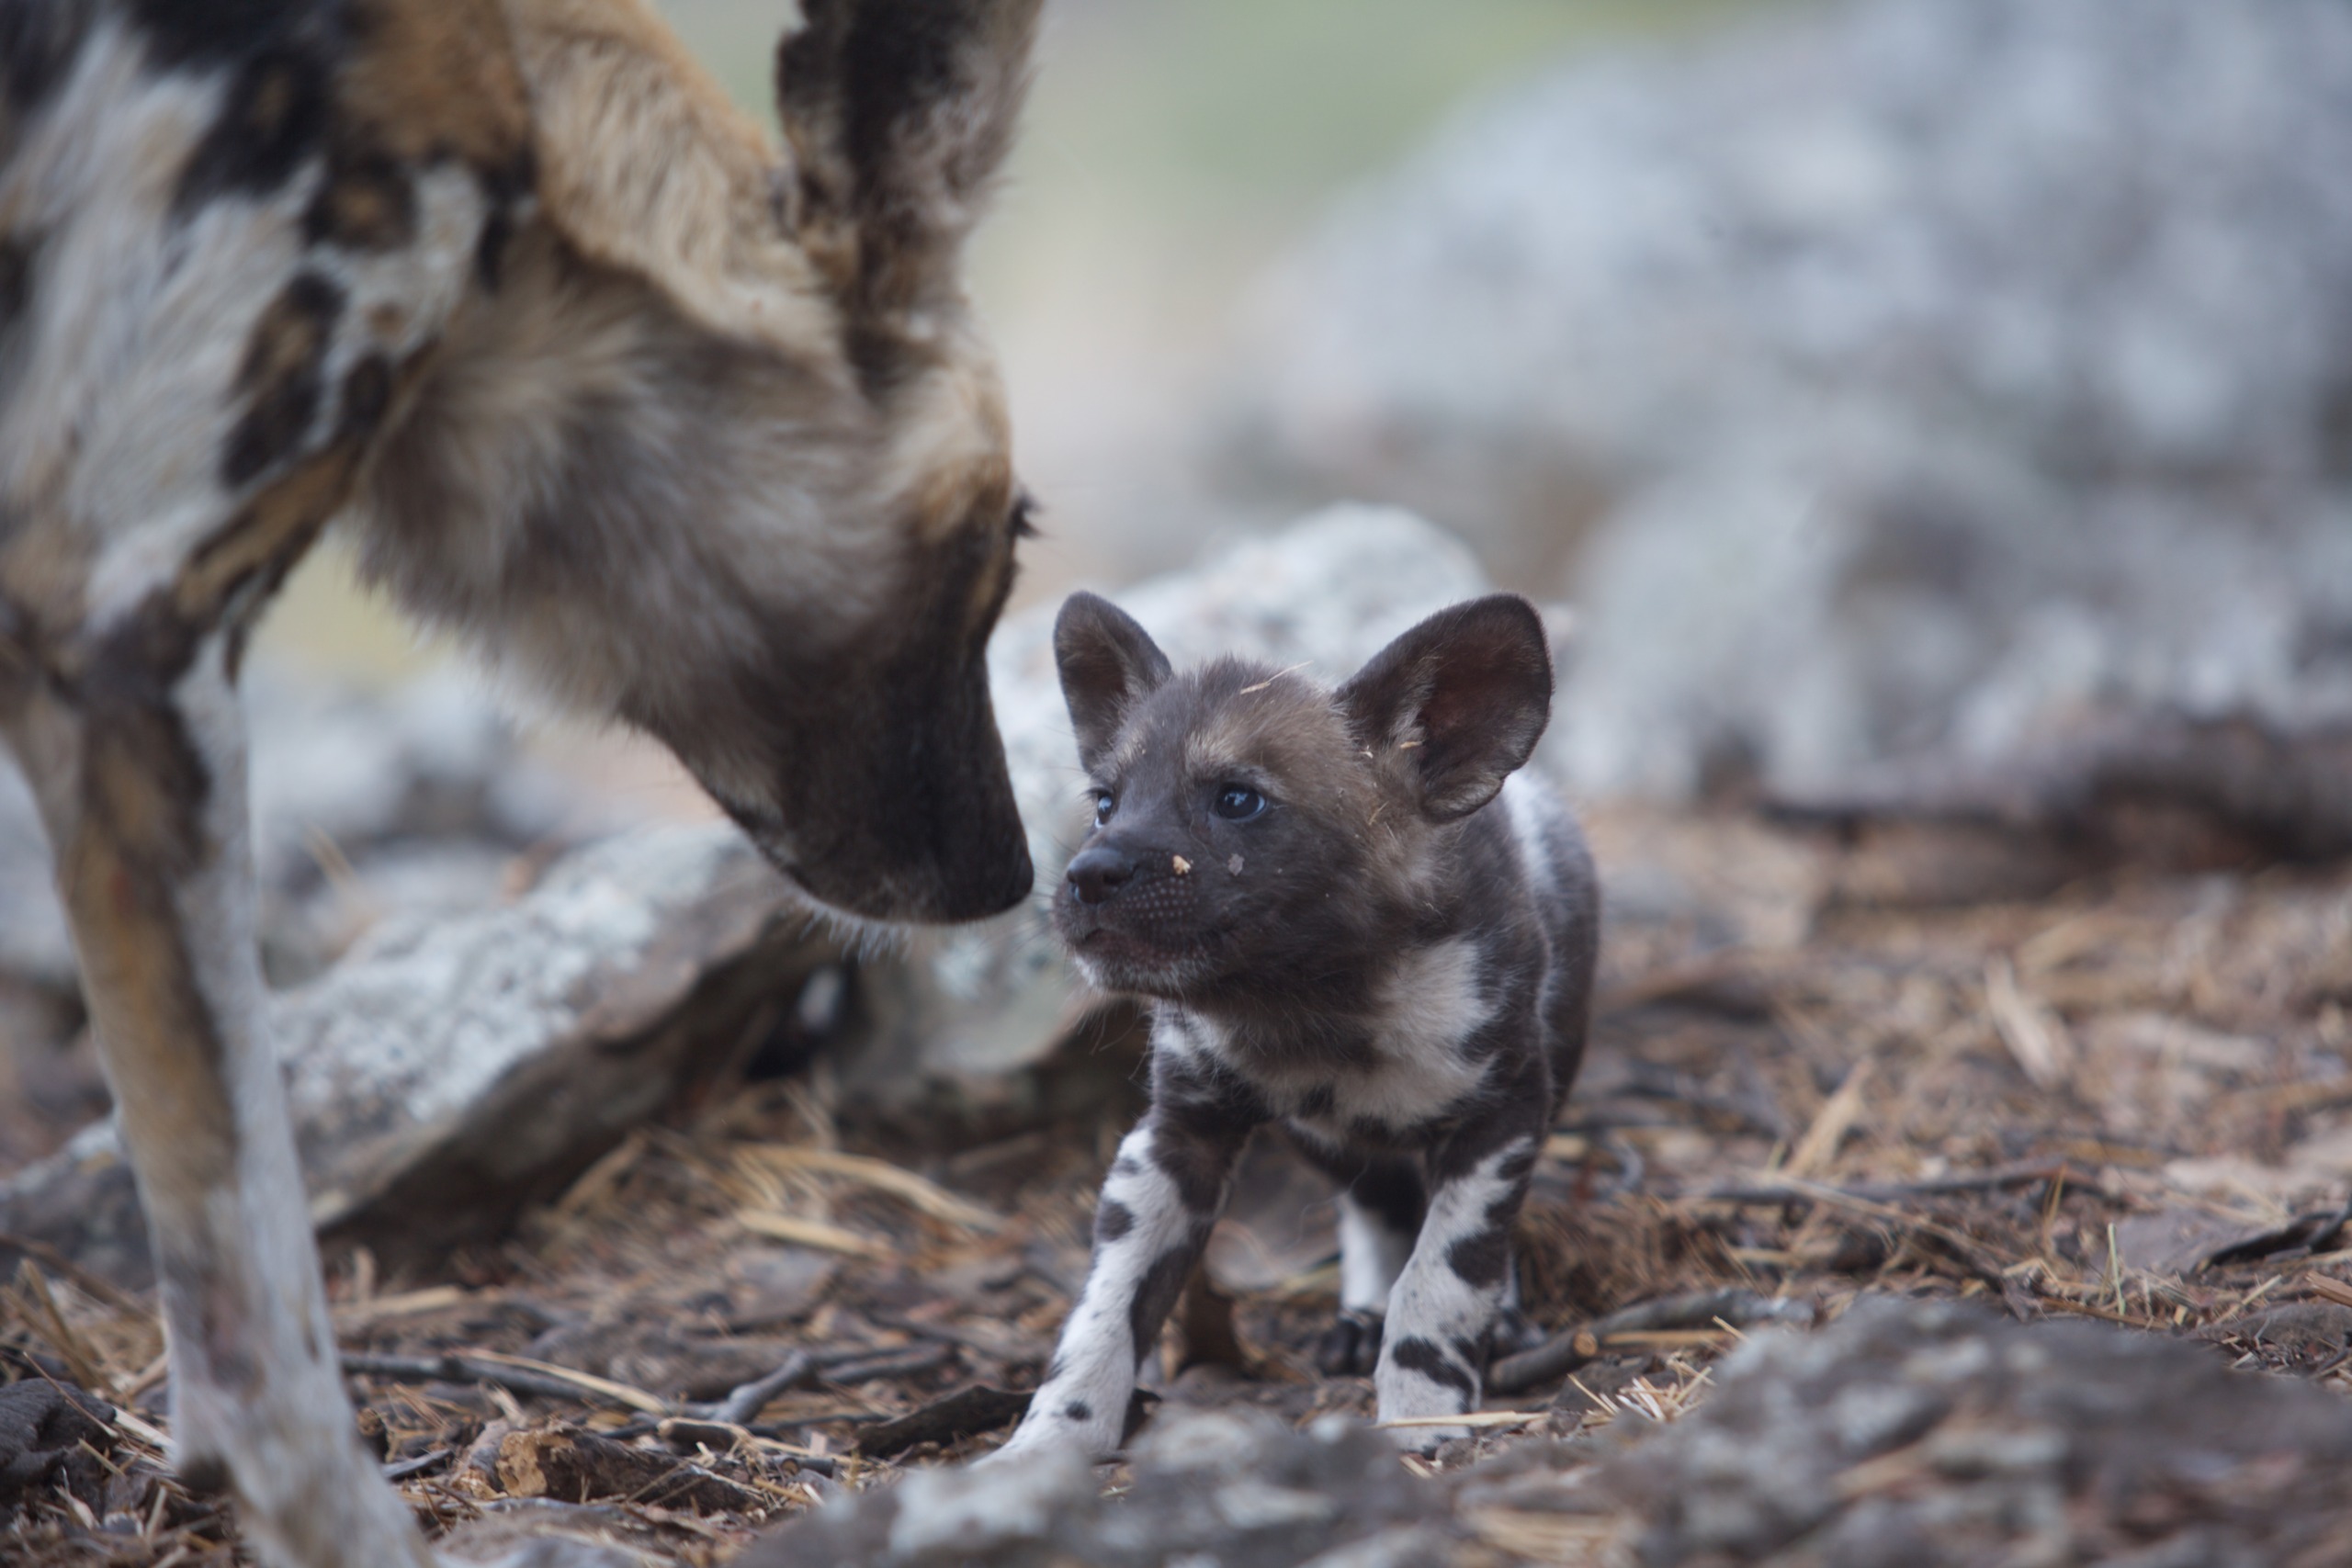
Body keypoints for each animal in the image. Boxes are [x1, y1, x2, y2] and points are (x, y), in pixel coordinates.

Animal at [992, 587, 1599, 1457]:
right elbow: (1103, 1312)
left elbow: (1444, 1276)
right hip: (1322, 1139)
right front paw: (1051, 1439)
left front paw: (1422, 1416)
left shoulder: (1502, 1115)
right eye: (1104, 803)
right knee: (1376, 1204)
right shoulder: (1176, 1139)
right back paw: (1360, 1313)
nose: (1088, 875)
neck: (1310, 1002)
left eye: (1237, 799)